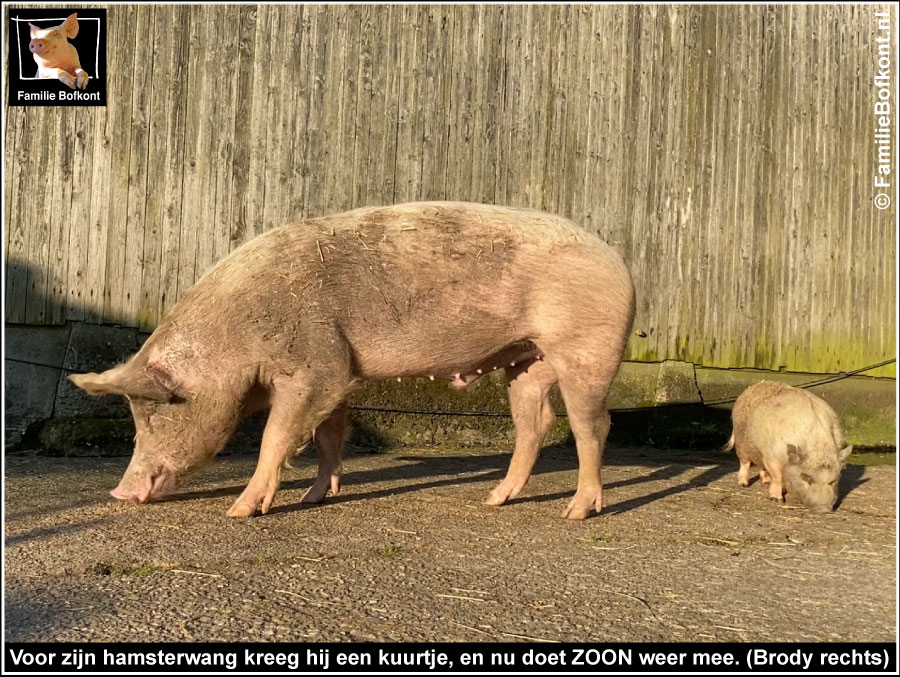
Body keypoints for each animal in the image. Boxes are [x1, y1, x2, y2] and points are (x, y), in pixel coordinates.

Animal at [70, 201, 636, 516]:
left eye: (155, 411)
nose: (118, 493)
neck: (235, 338)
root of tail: (620, 263)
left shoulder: (313, 367)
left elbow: (276, 436)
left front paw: (239, 511)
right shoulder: (341, 374)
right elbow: (326, 437)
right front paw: (313, 498)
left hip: (586, 348)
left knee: (593, 425)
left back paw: (576, 513)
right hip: (526, 361)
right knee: (535, 422)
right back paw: (494, 500)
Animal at [724, 380, 852, 512]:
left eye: (832, 481)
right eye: (807, 478)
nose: (824, 509)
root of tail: (750, 389)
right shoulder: (771, 456)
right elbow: (778, 477)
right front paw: (776, 499)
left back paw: (766, 482)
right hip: (740, 438)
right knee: (744, 461)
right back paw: (743, 484)